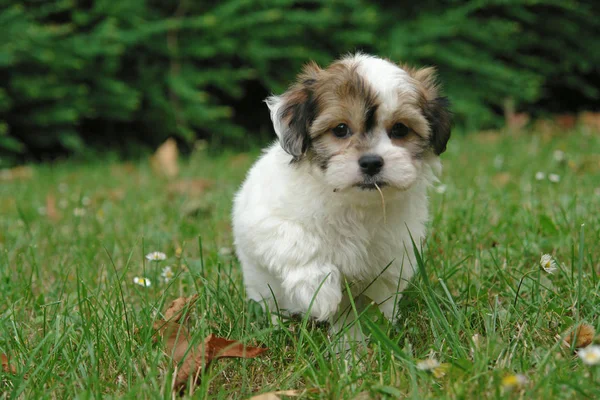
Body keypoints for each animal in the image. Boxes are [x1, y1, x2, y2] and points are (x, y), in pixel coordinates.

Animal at [232, 53, 452, 334]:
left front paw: (371, 328)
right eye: (340, 129)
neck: (355, 203)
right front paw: (319, 290)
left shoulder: (396, 248)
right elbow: (297, 239)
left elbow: (379, 293)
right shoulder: (262, 220)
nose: (371, 162)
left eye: (400, 129)